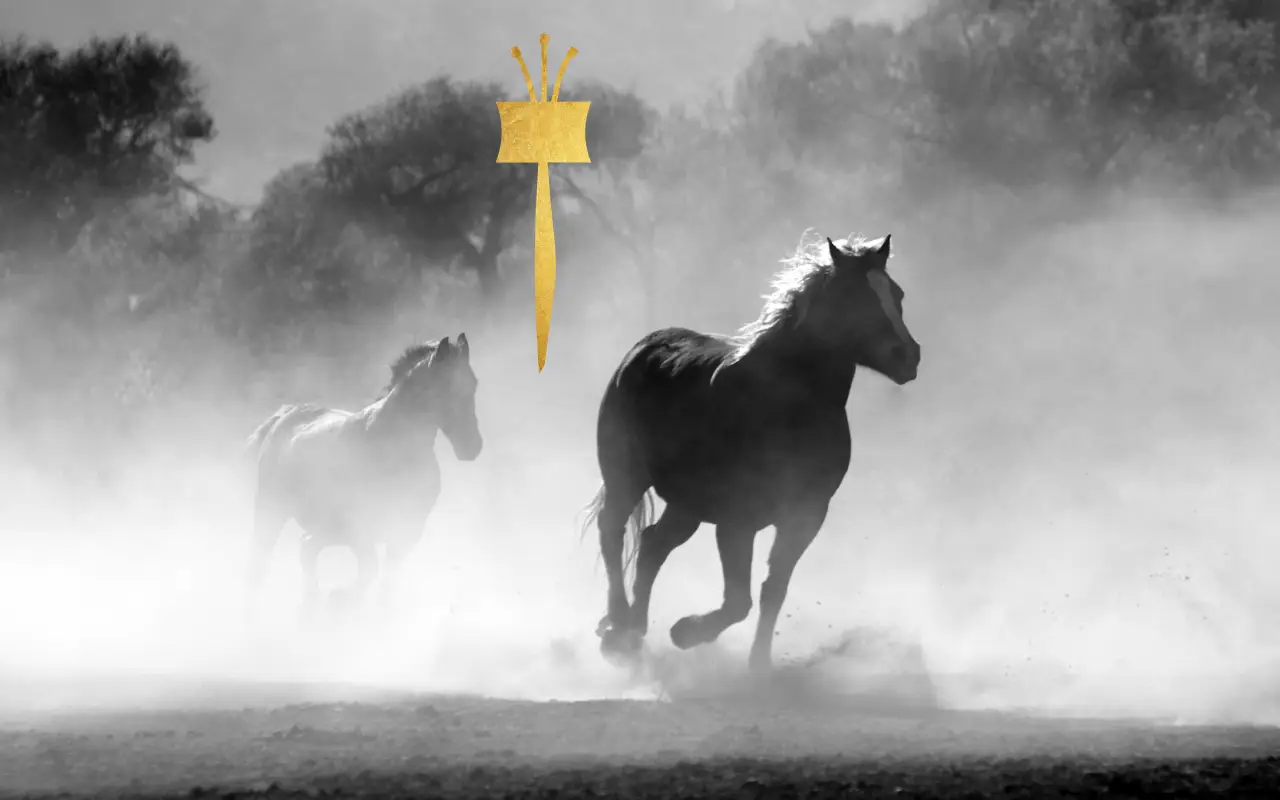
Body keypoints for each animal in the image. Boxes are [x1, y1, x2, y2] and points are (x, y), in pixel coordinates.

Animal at [244, 334, 482, 619]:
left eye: (473, 384)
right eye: (445, 387)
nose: (472, 447)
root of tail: (286, 415)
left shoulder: (407, 531)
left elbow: (386, 584)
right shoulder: (360, 529)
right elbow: (370, 570)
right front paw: (342, 599)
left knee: (306, 549)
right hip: (272, 510)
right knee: (262, 560)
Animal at [581, 231, 920, 673]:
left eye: (896, 293)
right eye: (853, 296)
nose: (907, 356)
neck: (786, 406)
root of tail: (643, 348)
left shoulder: (805, 516)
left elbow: (772, 590)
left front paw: (759, 665)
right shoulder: (737, 520)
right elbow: (738, 600)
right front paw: (687, 632)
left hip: (687, 504)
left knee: (653, 545)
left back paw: (634, 631)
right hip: (626, 477)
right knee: (613, 531)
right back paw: (618, 628)